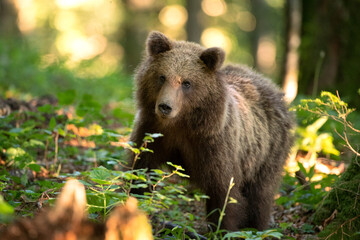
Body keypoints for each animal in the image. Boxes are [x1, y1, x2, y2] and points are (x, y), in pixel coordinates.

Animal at [129, 31, 292, 231]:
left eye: (186, 82)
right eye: (162, 77)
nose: (165, 107)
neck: (181, 124)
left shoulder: (214, 144)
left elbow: (224, 191)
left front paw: (223, 228)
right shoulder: (152, 133)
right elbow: (141, 170)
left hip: (267, 152)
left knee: (260, 194)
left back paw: (256, 225)